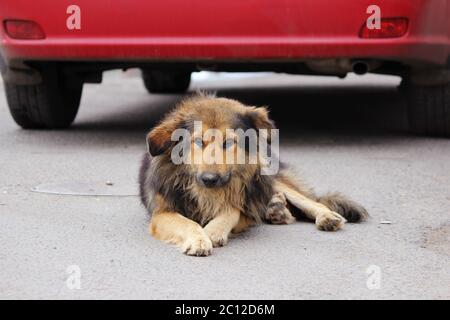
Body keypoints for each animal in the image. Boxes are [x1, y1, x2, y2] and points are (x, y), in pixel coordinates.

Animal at [139, 94, 368, 256]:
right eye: (197, 142)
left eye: (228, 143)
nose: (209, 179)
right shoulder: (162, 212)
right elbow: (188, 223)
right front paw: (199, 239)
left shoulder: (244, 206)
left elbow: (231, 210)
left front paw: (212, 232)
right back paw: (276, 209)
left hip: (267, 178)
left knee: (306, 200)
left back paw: (323, 215)